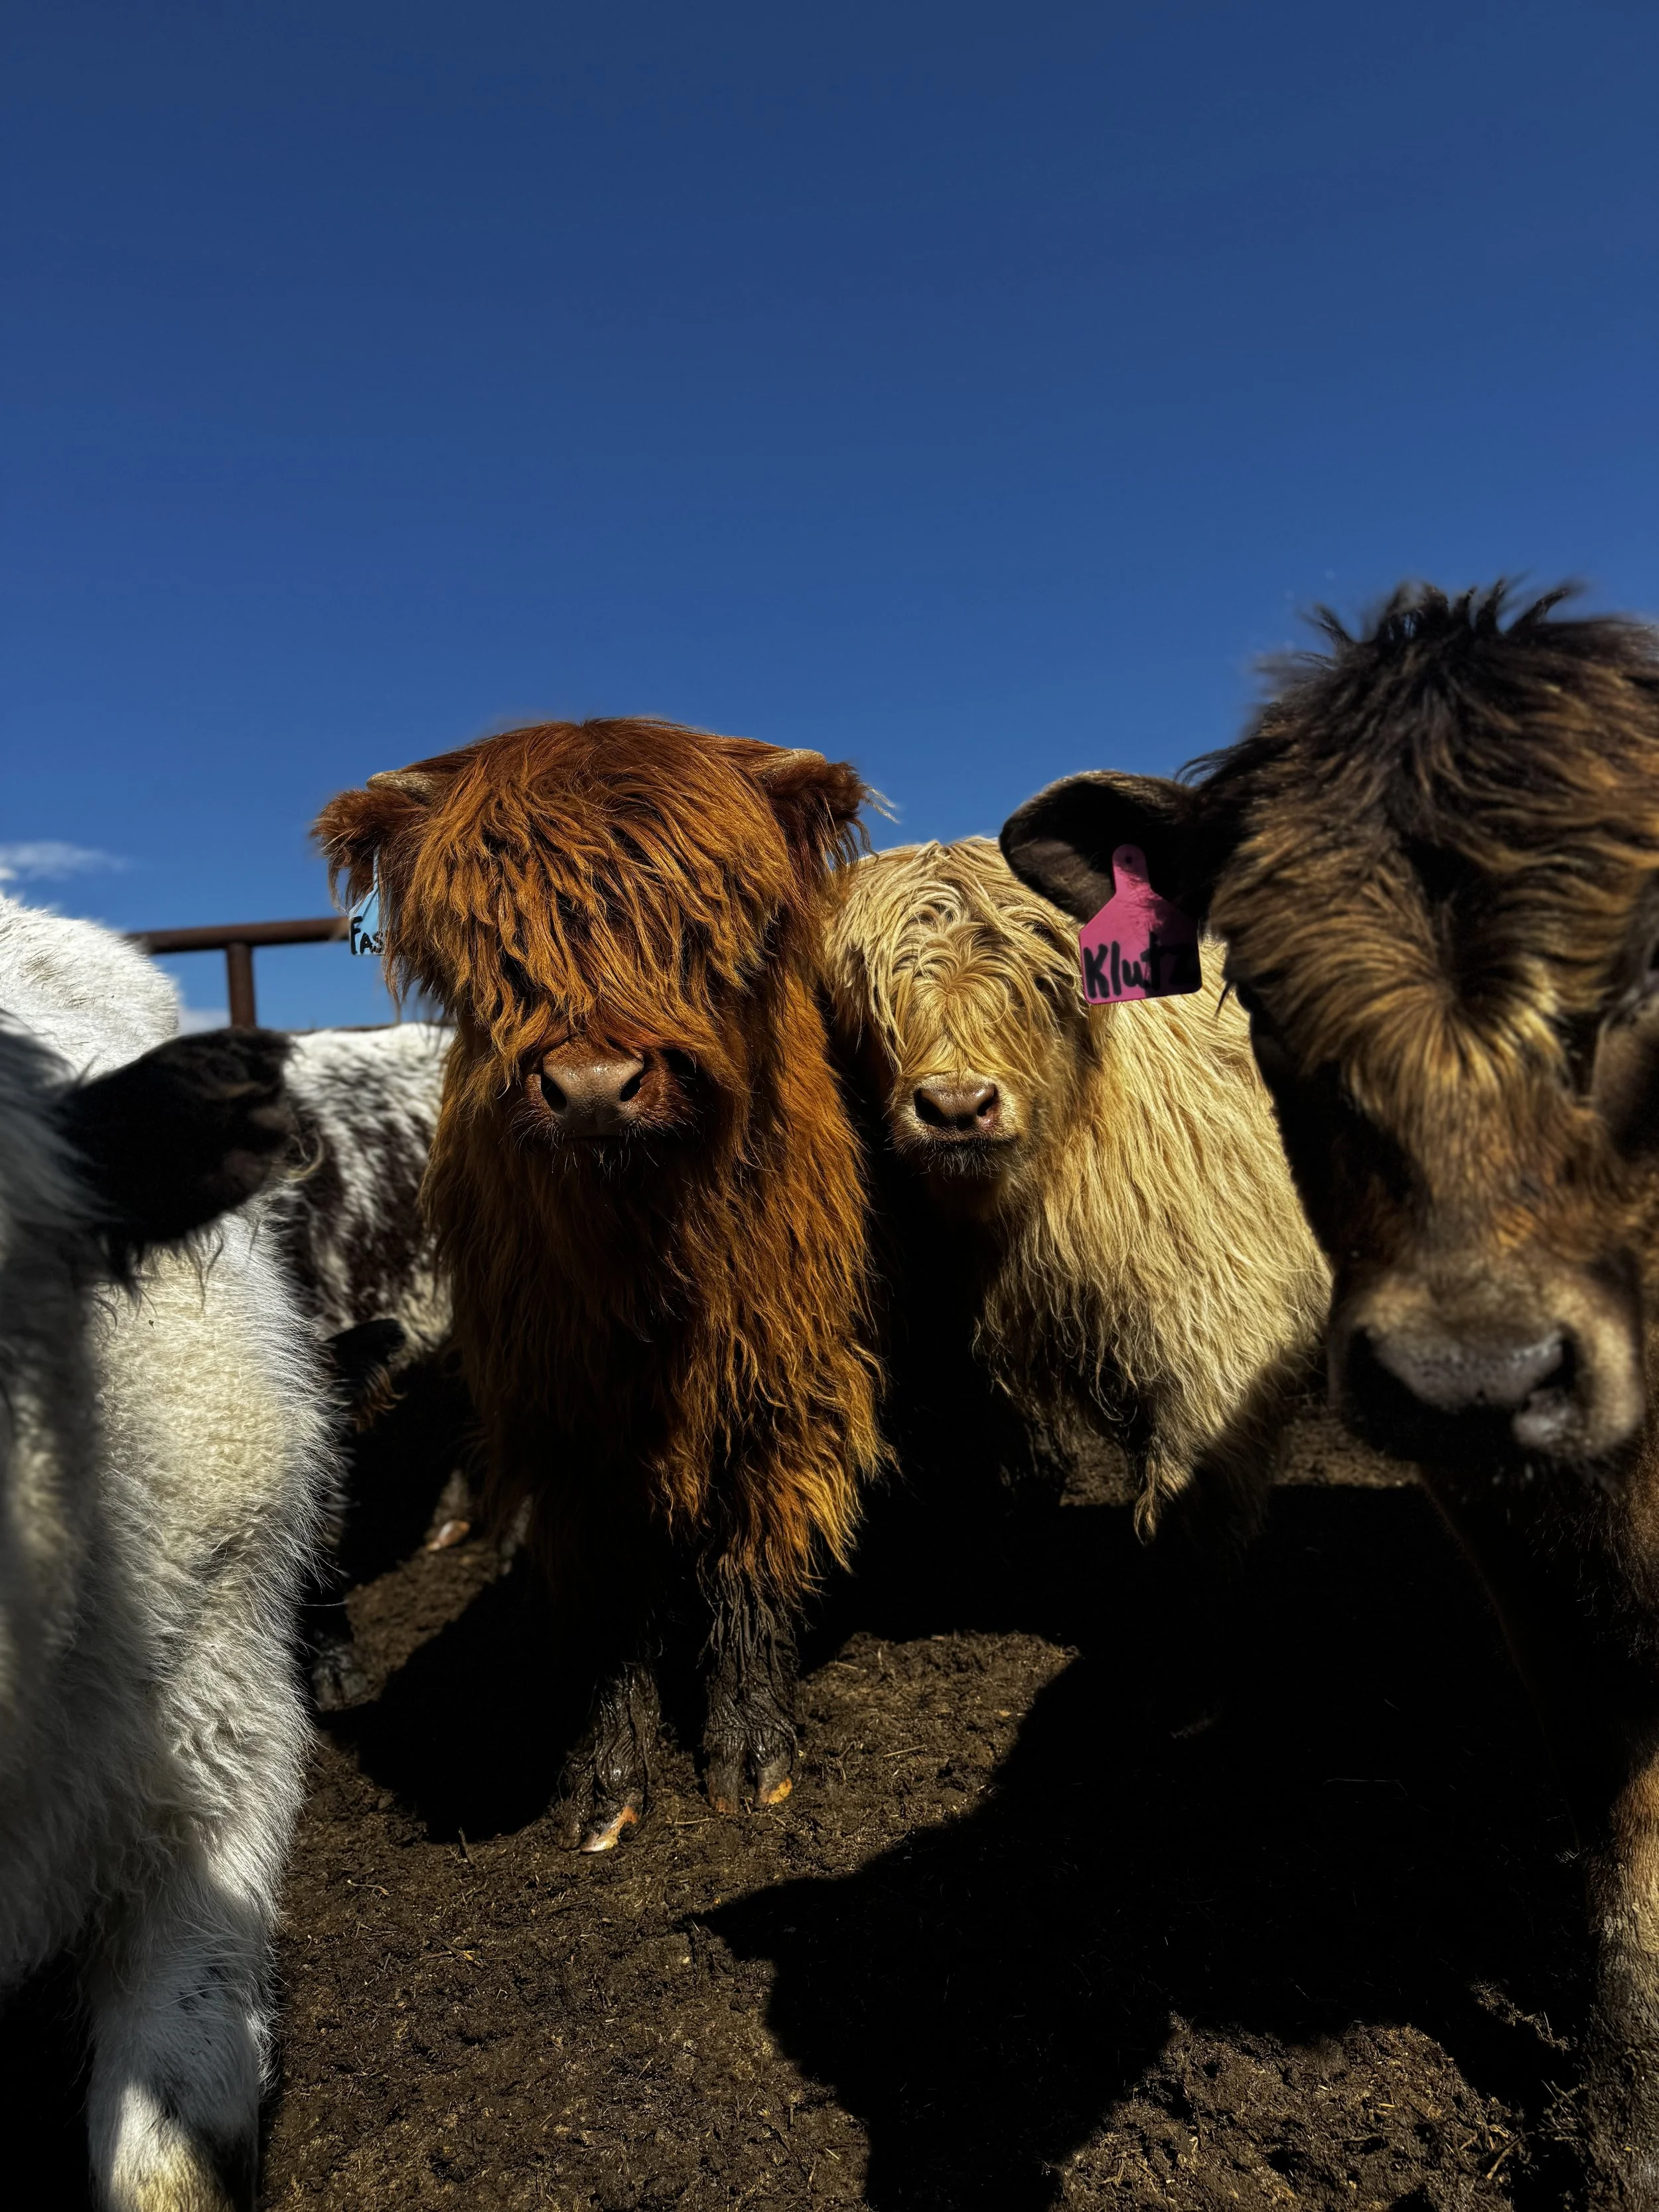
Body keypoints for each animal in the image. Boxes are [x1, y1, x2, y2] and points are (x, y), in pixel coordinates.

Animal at [315, 718, 884, 1850]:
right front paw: (606, 1782)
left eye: (702, 927)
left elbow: (750, 1558)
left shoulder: (783, 1377)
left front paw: (754, 1759)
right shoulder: (560, 1402)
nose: (591, 1090)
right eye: (496, 942)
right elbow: (603, 1585)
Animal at [1002, 583, 1659, 2206]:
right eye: (1273, 999)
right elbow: (1619, 1847)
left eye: (1650, 967)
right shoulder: (1527, 1570)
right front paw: (1623, 2142)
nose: (1469, 1375)